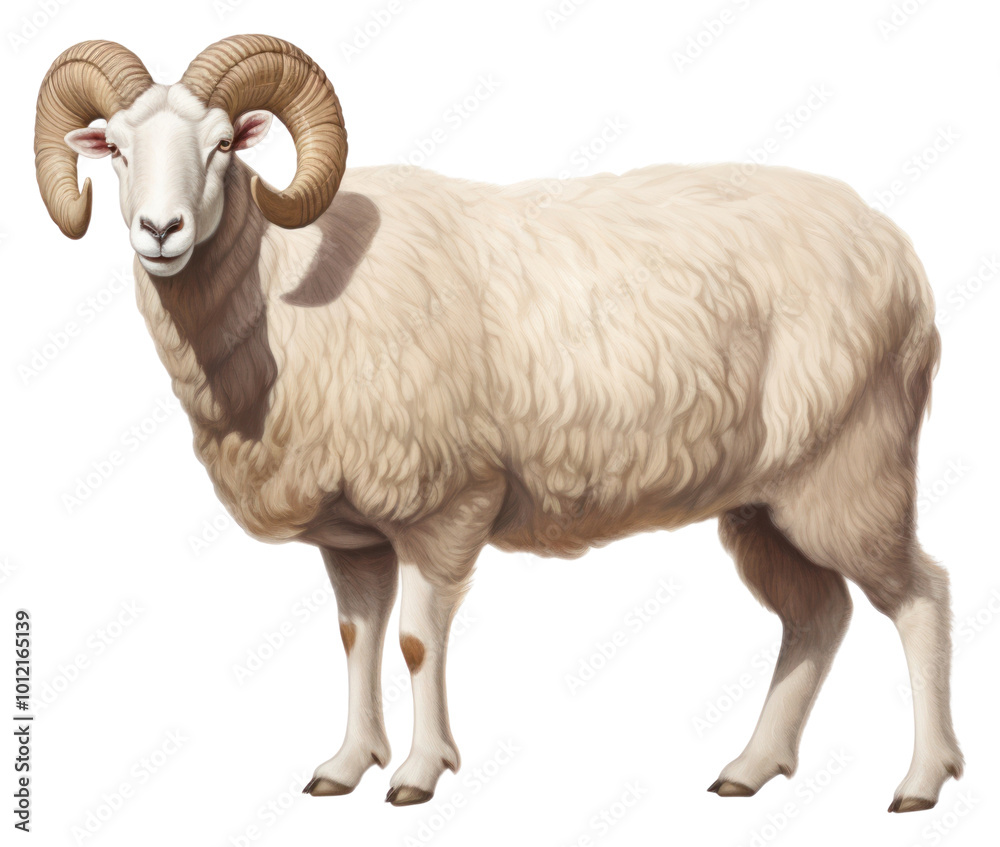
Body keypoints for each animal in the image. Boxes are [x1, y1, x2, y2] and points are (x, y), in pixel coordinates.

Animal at [35, 35, 961, 812]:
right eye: (116, 148)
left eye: (225, 146)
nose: (160, 231)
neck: (284, 305)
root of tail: (897, 251)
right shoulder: (354, 534)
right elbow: (355, 637)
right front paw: (345, 764)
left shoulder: (446, 503)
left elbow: (414, 641)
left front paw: (416, 773)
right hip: (768, 504)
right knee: (817, 617)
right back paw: (751, 768)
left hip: (853, 472)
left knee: (921, 597)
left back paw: (921, 780)